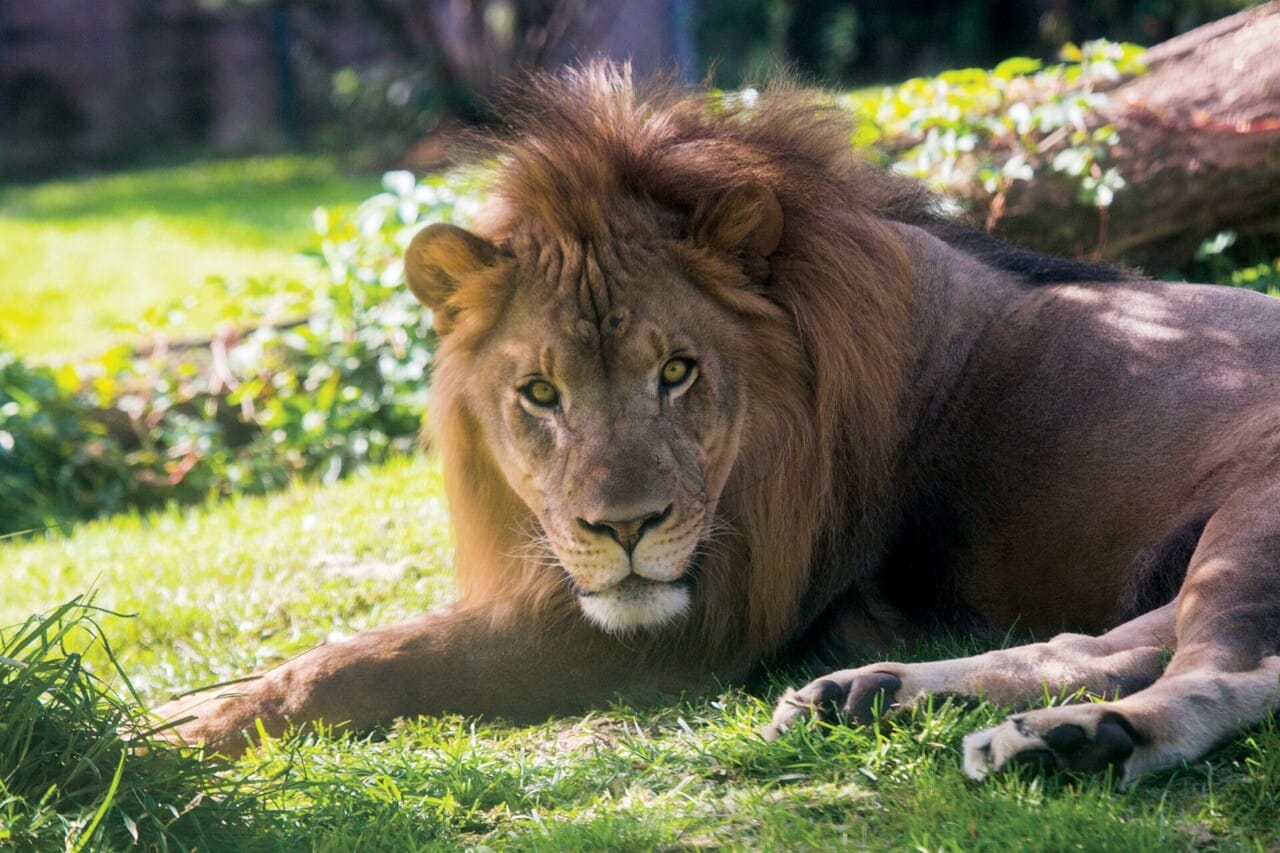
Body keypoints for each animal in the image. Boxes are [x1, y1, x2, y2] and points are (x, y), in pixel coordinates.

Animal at [157, 63, 1280, 786]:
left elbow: (377, 657)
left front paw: (188, 730)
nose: (623, 530)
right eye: (540, 394)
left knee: (1226, 671)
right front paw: (183, 703)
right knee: (1106, 641)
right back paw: (887, 697)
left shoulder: (706, 619)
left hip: (1250, 517)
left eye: (677, 372)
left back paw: (1084, 738)